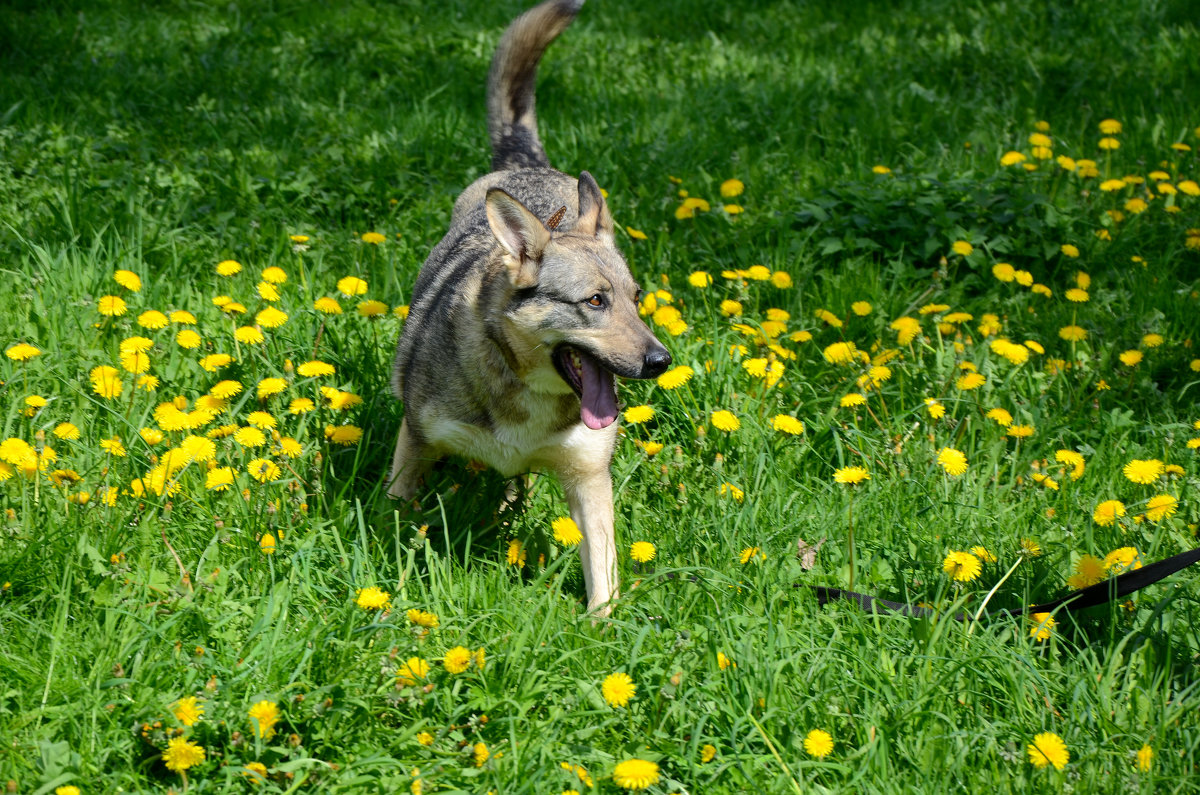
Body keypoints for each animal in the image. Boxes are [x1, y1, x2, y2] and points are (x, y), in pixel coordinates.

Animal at [388, 0, 672, 614]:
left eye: (636, 301)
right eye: (595, 301)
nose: (661, 362)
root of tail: (528, 166)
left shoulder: (589, 480)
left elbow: (604, 578)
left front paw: (600, 627)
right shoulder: (416, 444)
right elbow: (397, 521)